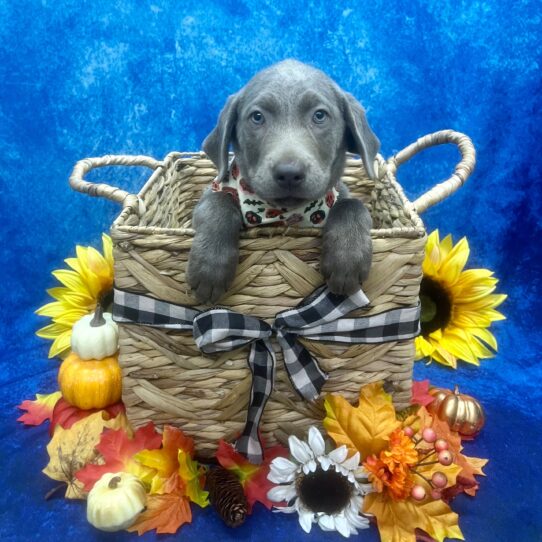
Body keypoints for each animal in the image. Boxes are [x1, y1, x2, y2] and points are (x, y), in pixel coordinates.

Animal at [189, 61, 380, 306]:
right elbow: (217, 202)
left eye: (320, 115)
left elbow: (352, 205)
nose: (289, 173)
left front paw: (347, 260)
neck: (283, 214)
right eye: (257, 117)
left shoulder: (340, 193)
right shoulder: (213, 191)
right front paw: (209, 266)